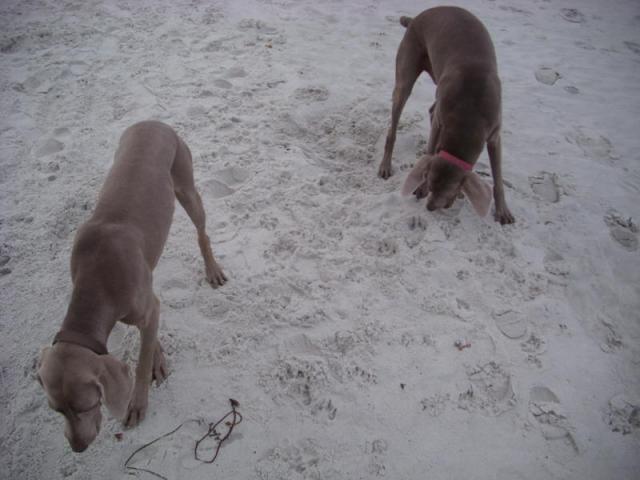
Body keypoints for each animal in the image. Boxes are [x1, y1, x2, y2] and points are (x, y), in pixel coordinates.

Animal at [380, 5, 516, 224]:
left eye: (450, 190)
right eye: (431, 184)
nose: (429, 207)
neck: (469, 118)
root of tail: (416, 18)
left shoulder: (495, 135)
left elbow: (498, 177)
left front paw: (503, 210)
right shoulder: (440, 123)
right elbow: (431, 150)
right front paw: (420, 187)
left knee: (431, 108)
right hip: (406, 75)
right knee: (393, 127)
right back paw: (385, 165)